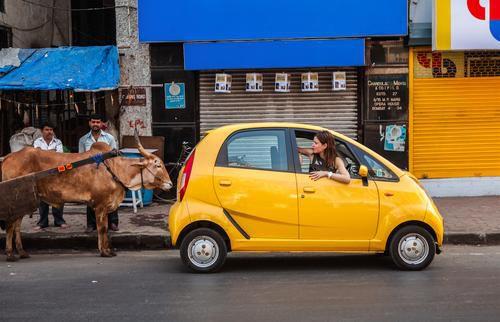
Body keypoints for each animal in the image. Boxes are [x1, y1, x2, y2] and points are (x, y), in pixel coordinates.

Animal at [1, 140, 173, 260]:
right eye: (157, 165)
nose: (170, 184)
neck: (114, 168)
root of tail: (9, 157)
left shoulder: (105, 206)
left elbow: (105, 229)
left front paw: (107, 249)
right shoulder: (100, 206)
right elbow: (102, 229)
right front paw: (104, 252)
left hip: (23, 202)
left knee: (16, 226)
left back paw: (22, 252)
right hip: (14, 200)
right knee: (10, 225)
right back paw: (10, 254)